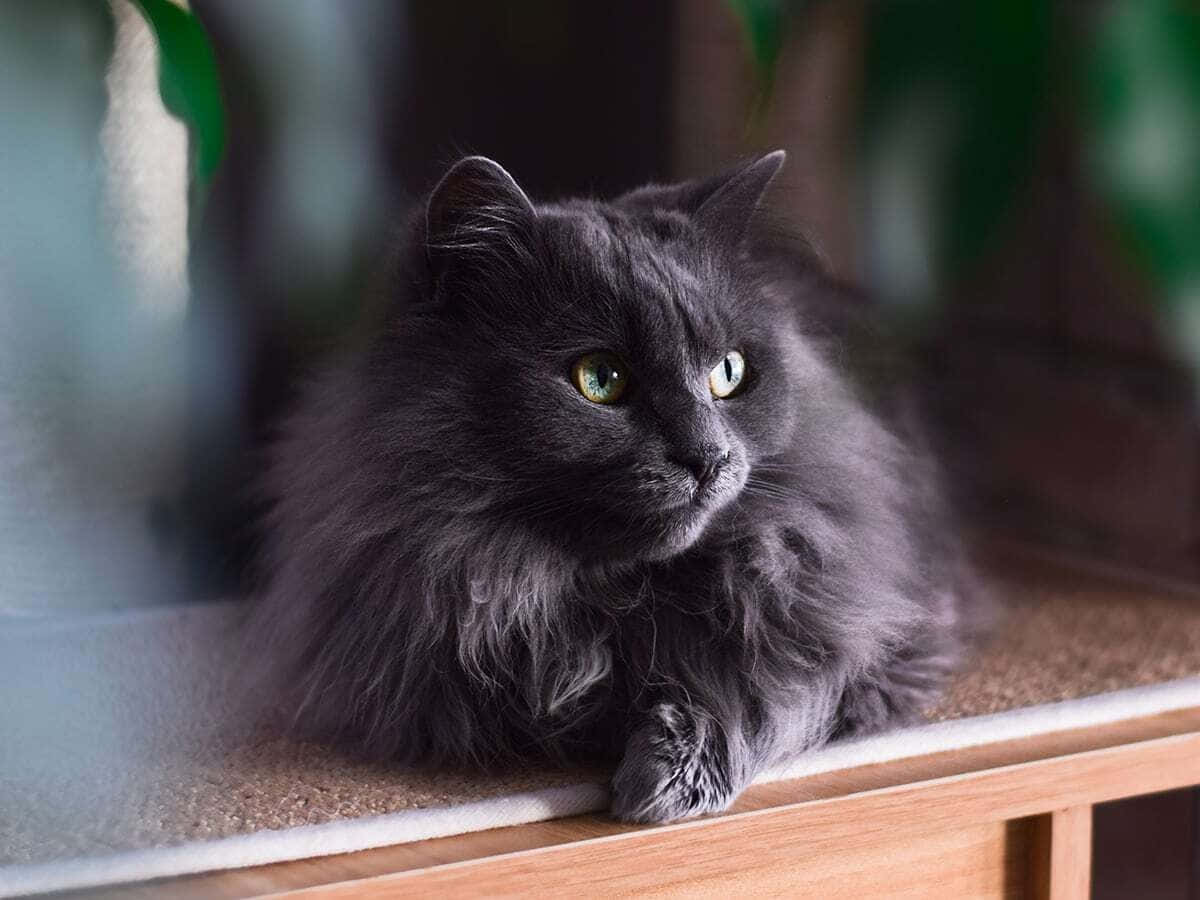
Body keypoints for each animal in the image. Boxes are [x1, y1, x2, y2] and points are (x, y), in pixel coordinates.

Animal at [248, 150, 979, 825]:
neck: (600, 590)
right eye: (600, 379)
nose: (708, 458)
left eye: (728, 372)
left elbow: (777, 689)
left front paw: (662, 780)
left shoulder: (877, 636)